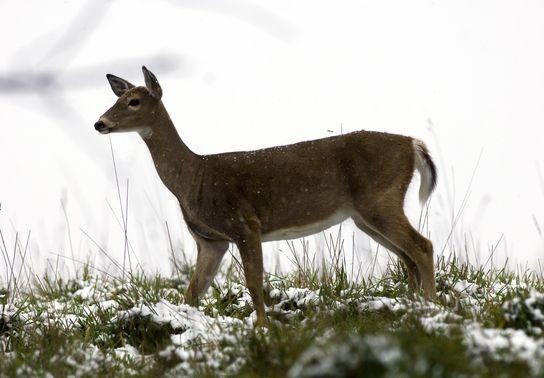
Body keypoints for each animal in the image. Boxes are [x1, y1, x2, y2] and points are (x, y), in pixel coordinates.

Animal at [94, 66, 438, 326]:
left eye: (134, 101)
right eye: (118, 98)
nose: (100, 123)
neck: (194, 178)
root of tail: (413, 144)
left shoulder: (245, 223)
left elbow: (253, 281)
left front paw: (261, 327)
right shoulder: (211, 241)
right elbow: (193, 291)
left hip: (379, 199)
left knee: (423, 247)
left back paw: (432, 308)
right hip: (363, 215)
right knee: (408, 257)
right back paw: (412, 306)